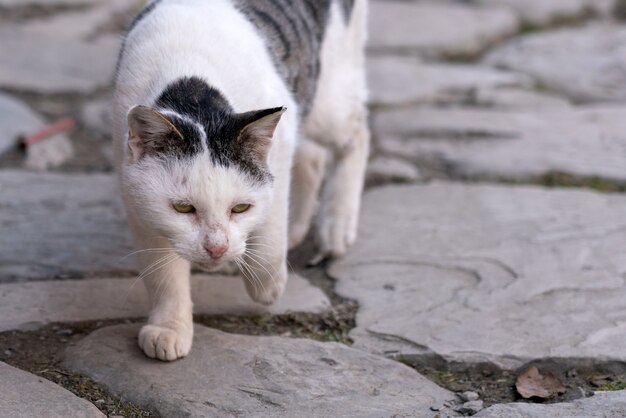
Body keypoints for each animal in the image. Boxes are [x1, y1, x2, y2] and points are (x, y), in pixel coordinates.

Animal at [112, 0, 368, 360]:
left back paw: (336, 227)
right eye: (183, 208)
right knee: (314, 158)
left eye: (241, 208)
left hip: (326, 100)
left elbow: (270, 237)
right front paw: (169, 328)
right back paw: (299, 228)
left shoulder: (279, 150)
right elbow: (163, 274)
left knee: (357, 132)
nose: (217, 248)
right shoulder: (137, 199)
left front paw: (268, 286)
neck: (193, 86)